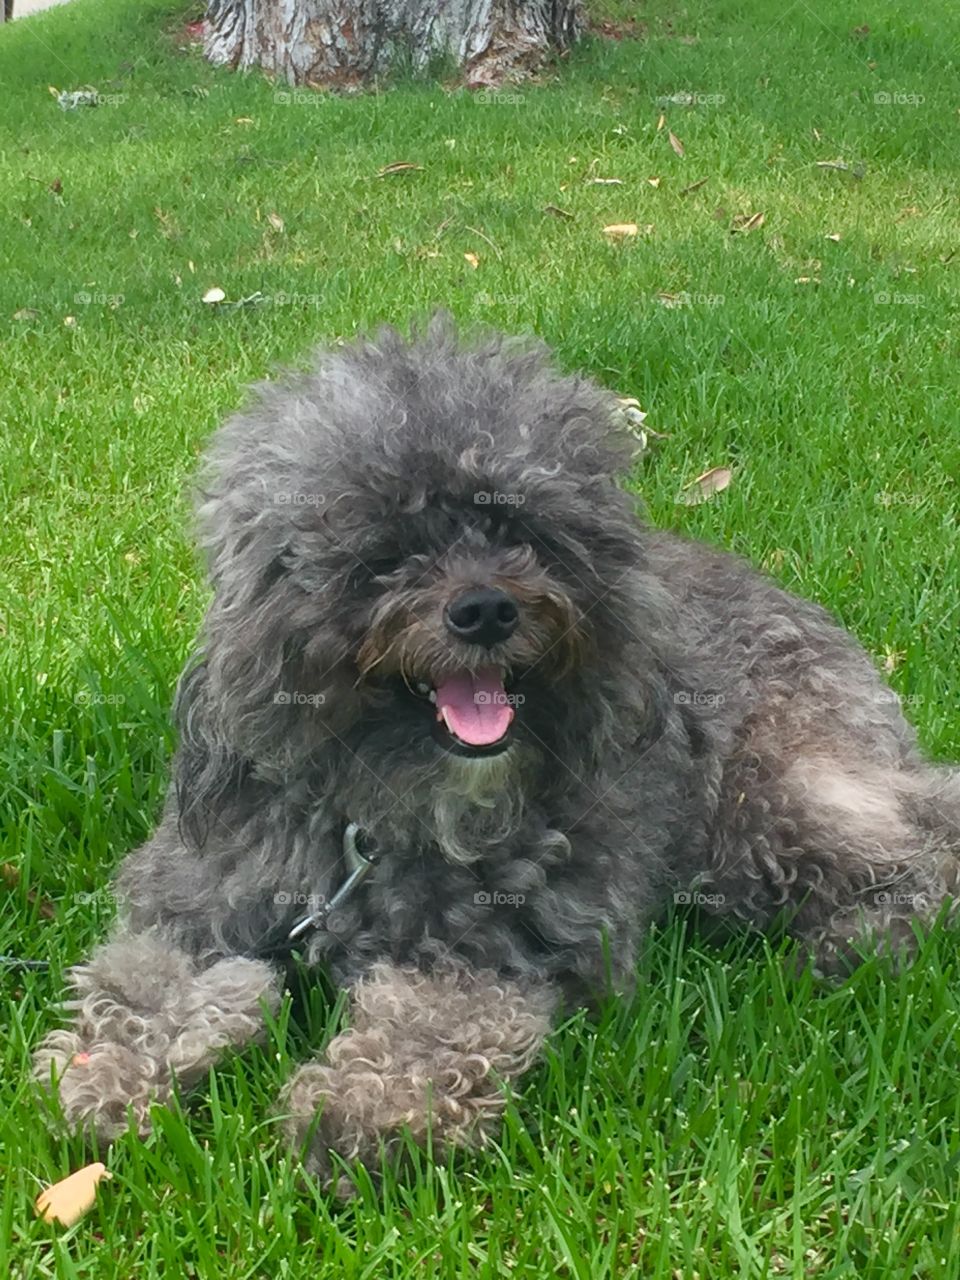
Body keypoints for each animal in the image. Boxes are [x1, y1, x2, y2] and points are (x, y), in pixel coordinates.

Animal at [33, 312, 960, 1187]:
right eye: (387, 549)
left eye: (518, 528)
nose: (485, 609)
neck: (376, 819)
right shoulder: (196, 900)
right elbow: (147, 984)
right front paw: (108, 1072)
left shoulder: (510, 947)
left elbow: (436, 1020)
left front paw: (365, 1106)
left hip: (761, 807)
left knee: (926, 844)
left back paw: (858, 944)